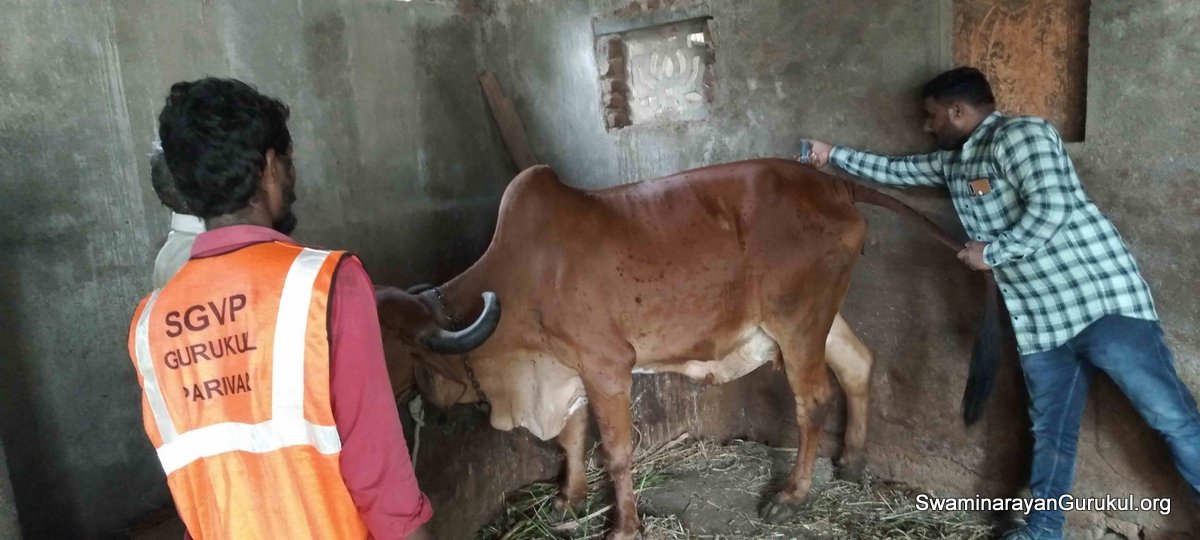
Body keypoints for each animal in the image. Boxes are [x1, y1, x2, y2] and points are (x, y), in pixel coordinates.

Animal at [376, 159, 993, 539]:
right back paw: (852, 460)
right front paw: (569, 499)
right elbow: (571, 438)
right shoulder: (565, 369)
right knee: (858, 365)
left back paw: (792, 495)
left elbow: (614, 451)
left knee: (814, 400)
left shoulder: (606, 366)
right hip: (817, 318)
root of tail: (832, 185)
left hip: (796, 322)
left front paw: (624, 525)